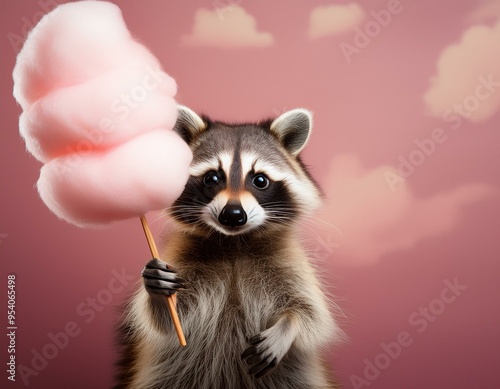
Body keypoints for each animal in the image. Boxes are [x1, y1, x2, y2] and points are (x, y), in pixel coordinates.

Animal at [116, 106, 344, 388]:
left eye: (260, 180)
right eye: (212, 178)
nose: (233, 215)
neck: (234, 243)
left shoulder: (291, 263)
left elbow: (310, 314)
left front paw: (287, 327)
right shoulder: (183, 258)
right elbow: (166, 323)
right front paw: (159, 293)